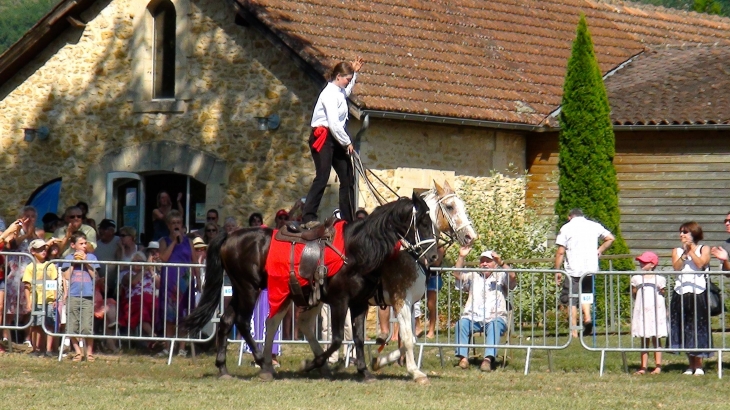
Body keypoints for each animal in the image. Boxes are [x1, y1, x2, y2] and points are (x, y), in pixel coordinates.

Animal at [185, 195, 436, 382]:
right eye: (424, 223)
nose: (433, 256)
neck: (358, 249)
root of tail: (230, 235)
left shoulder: (359, 303)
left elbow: (358, 338)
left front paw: (365, 371)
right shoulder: (341, 301)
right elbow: (337, 339)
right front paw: (311, 364)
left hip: (242, 289)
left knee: (230, 320)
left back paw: (224, 369)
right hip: (249, 289)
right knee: (244, 322)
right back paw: (264, 364)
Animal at [364, 181, 478, 382]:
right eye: (450, 206)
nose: (470, 237)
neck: (410, 253)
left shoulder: (410, 304)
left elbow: (410, 339)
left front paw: (378, 361)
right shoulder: (400, 300)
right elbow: (408, 339)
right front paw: (415, 372)